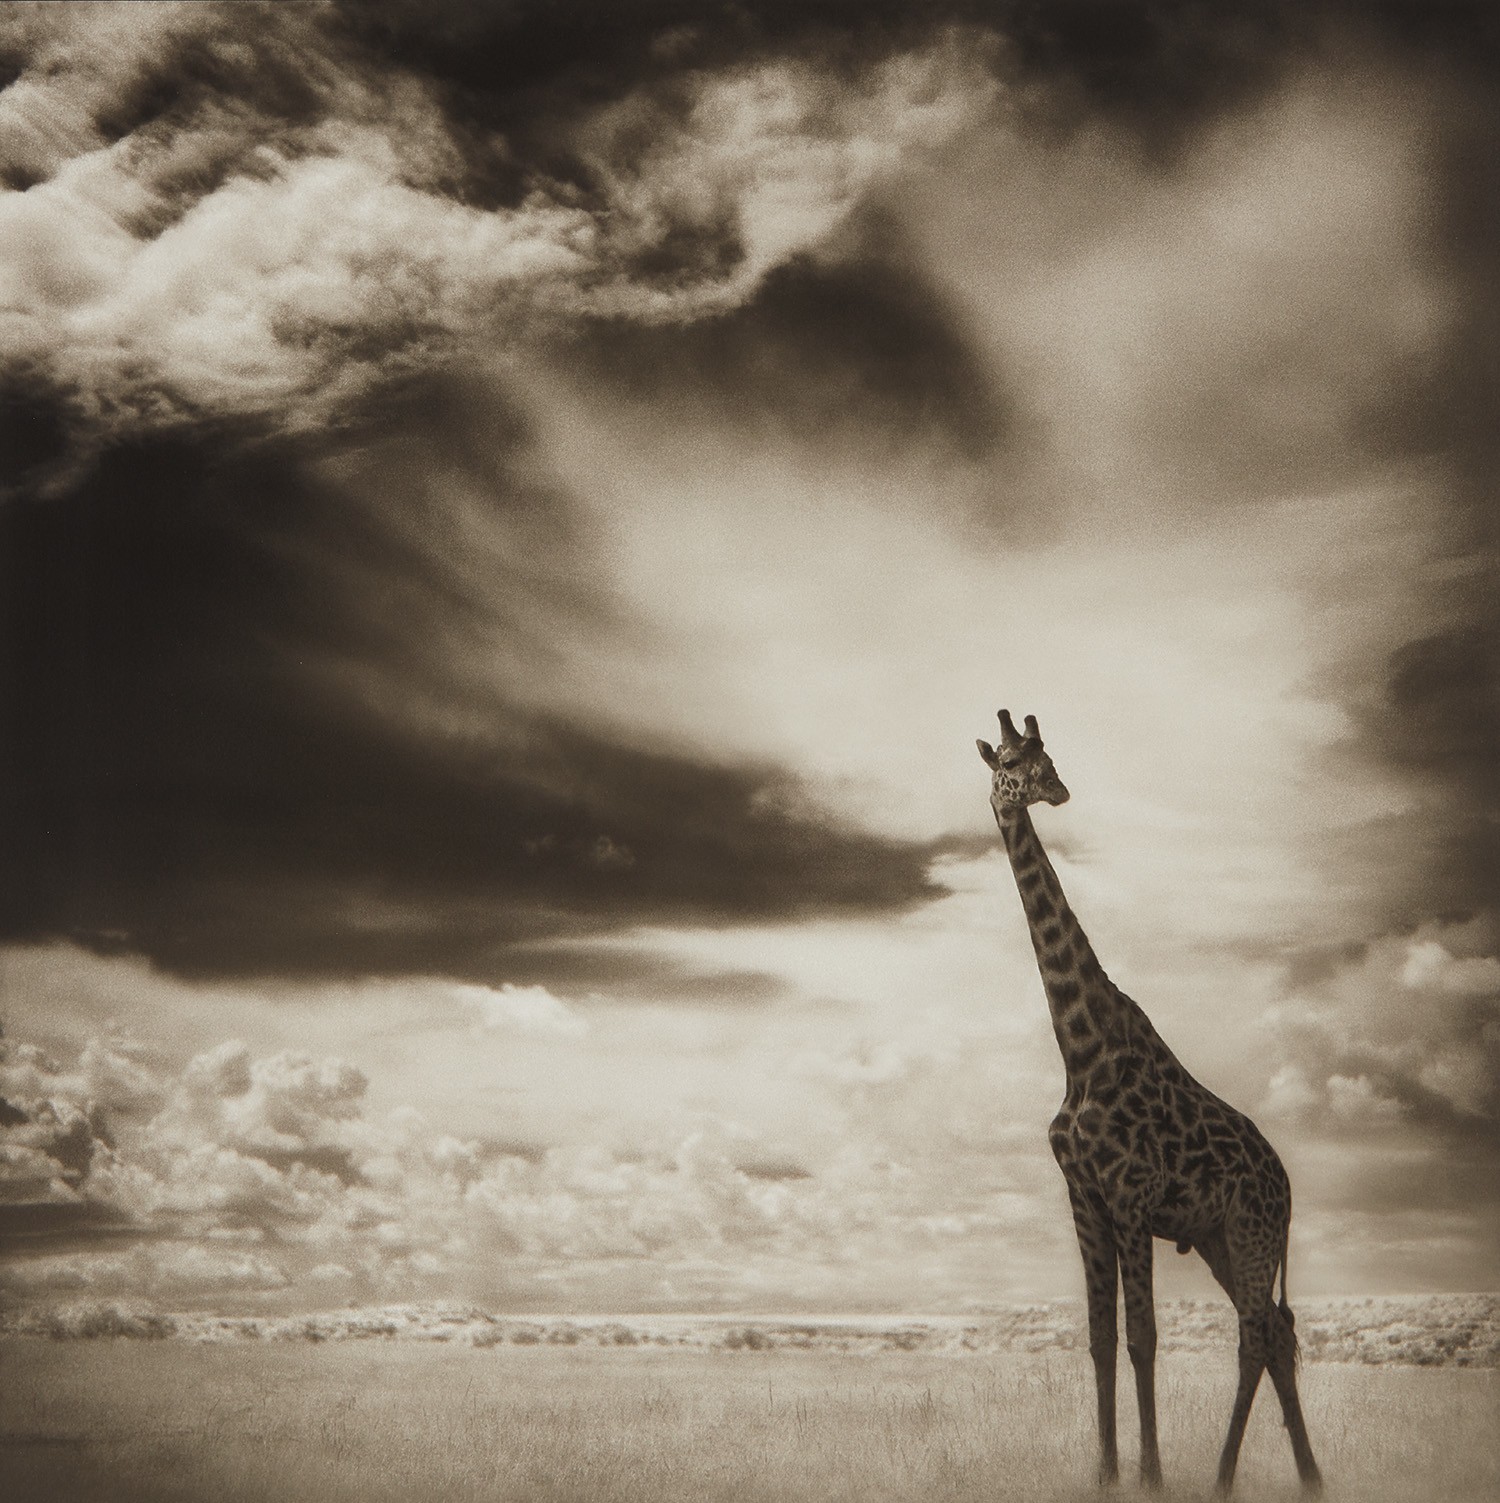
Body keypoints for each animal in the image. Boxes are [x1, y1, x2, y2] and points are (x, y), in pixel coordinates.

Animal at [976, 709, 1321, 1496]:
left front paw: (1152, 1474)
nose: (1054, 791)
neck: (1080, 1050)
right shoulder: (1085, 1197)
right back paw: (1306, 1477)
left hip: (1251, 1232)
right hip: (1224, 1238)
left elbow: (1143, 1337)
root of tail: (1288, 1186)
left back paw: (1224, 1477)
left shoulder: (1130, 1194)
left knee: (1256, 1333)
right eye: (1009, 761)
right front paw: (1106, 1471)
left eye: (1047, 756)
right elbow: (1102, 1339)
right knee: (1274, 1333)